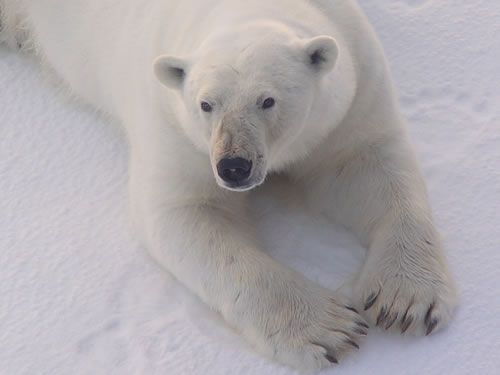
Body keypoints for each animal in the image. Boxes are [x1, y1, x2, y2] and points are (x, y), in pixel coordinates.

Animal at [1, 0, 458, 372]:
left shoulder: (356, 85)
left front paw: (405, 301)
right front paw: (329, 328)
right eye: (206, 103)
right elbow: (188, 213)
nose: (233, 167)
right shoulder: (175, 127)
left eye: (267, 100)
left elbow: (365, 167)